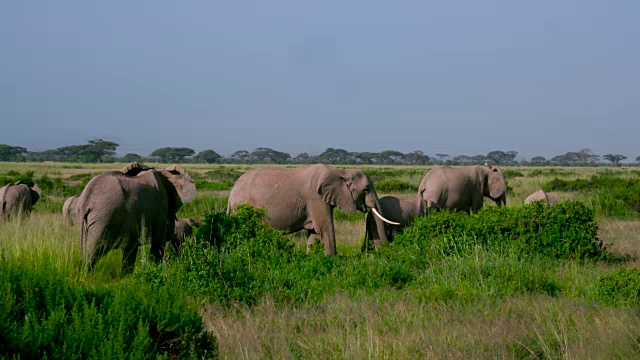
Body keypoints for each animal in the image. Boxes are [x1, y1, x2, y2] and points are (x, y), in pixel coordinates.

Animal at [225, 165, 396, 255]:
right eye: (366, 189)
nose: (364, 251)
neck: (339, 171)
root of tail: (231, 193)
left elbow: (314, 232)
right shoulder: (316, 198)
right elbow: (325, 228)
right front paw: (332, 259)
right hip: (241, 206)